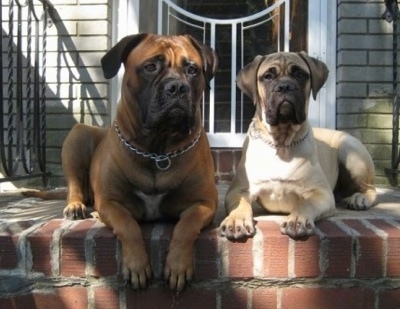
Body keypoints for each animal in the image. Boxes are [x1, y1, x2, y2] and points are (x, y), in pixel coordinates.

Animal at [57, 33, 217, 292]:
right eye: (151, 67)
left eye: (192, 69)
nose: (177, 87)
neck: (158, 150)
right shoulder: (111, 202)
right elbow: (127, 224)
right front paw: (137, 266)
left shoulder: (203, 203)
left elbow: (186, 225)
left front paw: (178, 265)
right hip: (77, 135)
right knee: (74, 185)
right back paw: (76, 207)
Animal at [219, 51, 378, 239]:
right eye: (268, 76)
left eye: (300, 75)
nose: (284, 86)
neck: (281, 144)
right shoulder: (239, 191)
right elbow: (241, 204)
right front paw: (237, 220)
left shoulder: (320, 193)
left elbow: (305, 204)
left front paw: (297, 219)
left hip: (351, 151)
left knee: (371, 189)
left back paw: (360, 198)